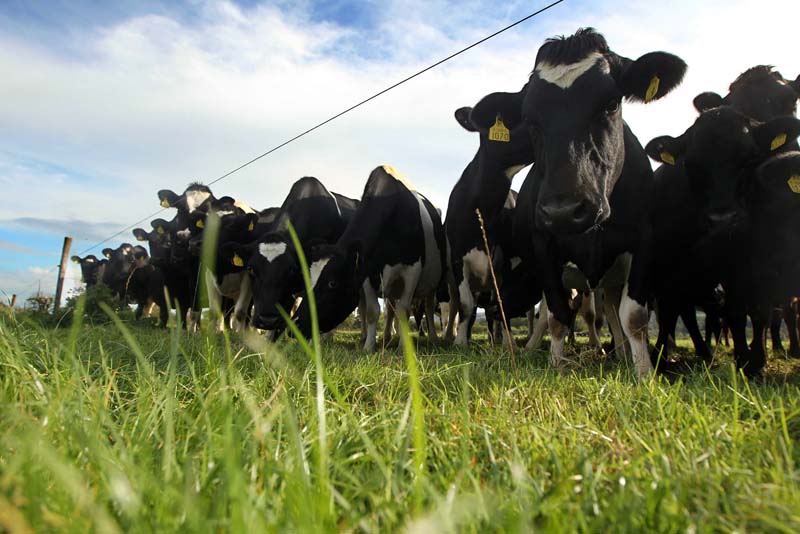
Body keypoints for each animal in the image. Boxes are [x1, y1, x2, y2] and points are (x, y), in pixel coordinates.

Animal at [294, 165, 446, 350]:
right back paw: (387, 337)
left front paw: (403, 347)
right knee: (391, 310)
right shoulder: (366, 272)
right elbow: (373, 311)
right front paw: (369, 346)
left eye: (332, 283)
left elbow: (404, 310)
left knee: (428, 308)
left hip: (431, 282)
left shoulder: (413, 270)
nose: (296, 324)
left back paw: (433, 338)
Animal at [444, 87, 536, 346]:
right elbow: (466, 305)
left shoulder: (503, 263)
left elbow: (501, 302)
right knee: (456, 305)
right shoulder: (458, 260)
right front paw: (460, 342)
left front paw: (508, 342)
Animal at [520, 29, 688, 378]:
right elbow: (556, 314)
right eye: (529, 120)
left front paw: (644, 373)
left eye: (611, 104)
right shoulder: (544, 244)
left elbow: (633, 316)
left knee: (610, 309)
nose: (563, 212)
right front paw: (556, 365)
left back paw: (620, 354)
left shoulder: (644, 240)